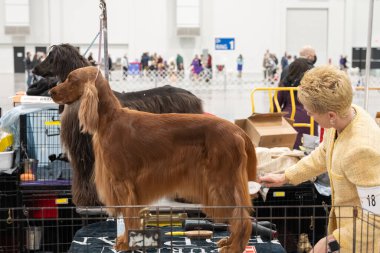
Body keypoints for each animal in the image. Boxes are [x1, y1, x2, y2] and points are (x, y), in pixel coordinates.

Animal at [34, 43, 203, 206]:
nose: (34, 68)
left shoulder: (91, 150)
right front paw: (86, 199)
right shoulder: (82, 151)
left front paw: (96, 199)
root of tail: (193, 97)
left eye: (51, 57)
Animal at [50, 65, 256, 253]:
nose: (51, 91)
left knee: (241, 215)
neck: (110, 119)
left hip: (221, 181)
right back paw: (229, 242)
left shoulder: (122, 182)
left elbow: (128, 215)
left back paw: (234, 246)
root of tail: (237, 131)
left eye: (71, 79)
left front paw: (126, 243)